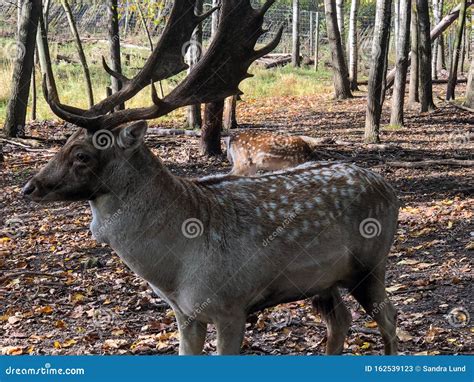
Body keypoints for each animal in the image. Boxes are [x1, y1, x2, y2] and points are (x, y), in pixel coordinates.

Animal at [23, 0, 400, 356]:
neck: (176, 272)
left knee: (390, 318)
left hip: (371, 264)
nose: (30, 186)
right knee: (341, 320)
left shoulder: (231, 306)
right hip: (323, 281)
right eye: (65, 142)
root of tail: (387, 186)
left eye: (82, 155)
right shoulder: (185, 314)